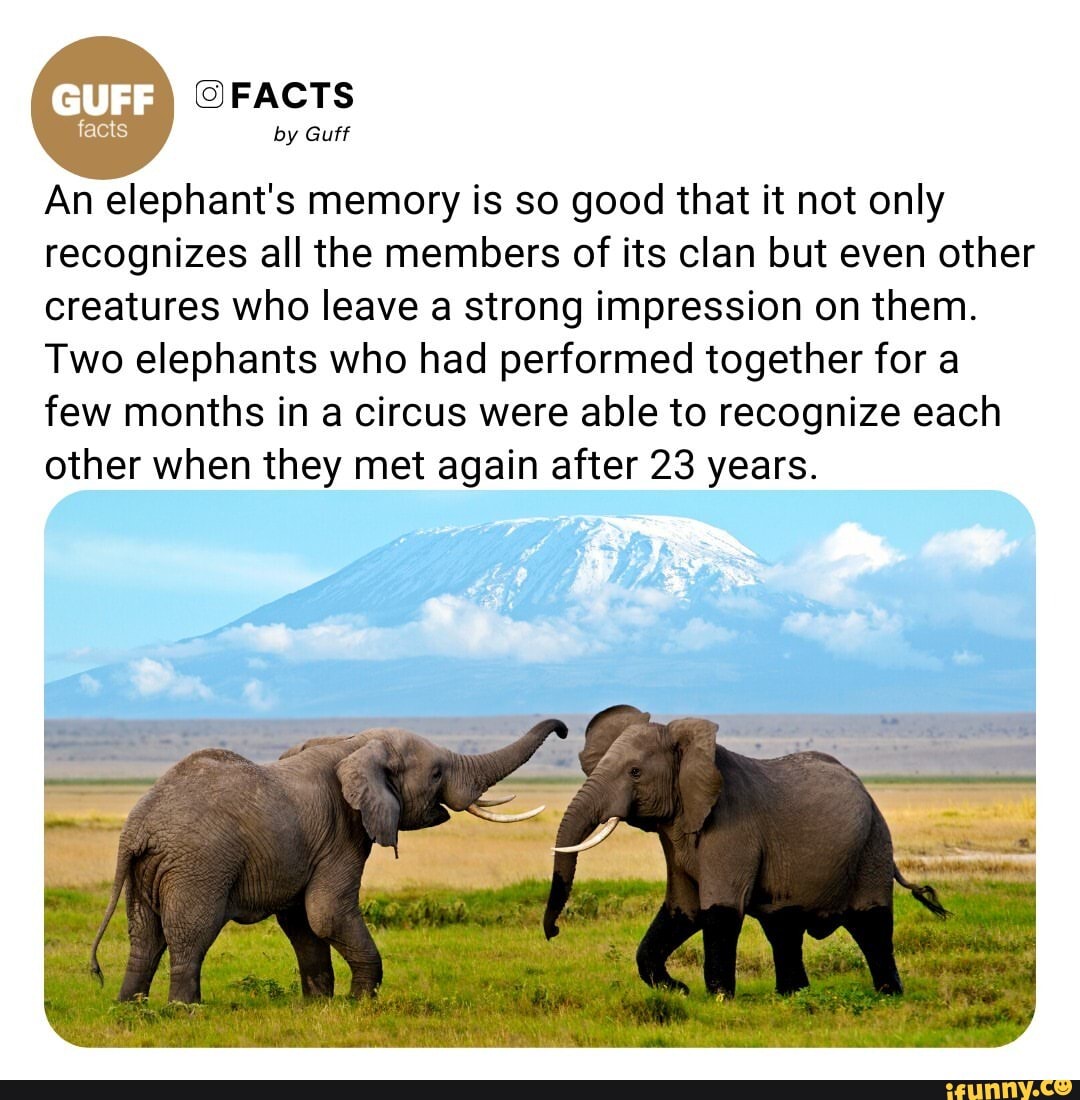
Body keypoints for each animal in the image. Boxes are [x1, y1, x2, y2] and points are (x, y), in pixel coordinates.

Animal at [90, 717, 567, 1003]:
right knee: (191, 933)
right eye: (435, 774)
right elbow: (327, 913)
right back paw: (186, 1010)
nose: (563, 729)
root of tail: (137, 829)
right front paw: (362, 1002)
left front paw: (320, 1005)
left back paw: (130, 1008)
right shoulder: (342, 832)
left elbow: (301, 921)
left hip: (147, 870)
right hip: (198, 865)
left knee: (144, 936)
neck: (354, 743)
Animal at [543, 705, 947, 998]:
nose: (554, 932)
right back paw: (793, 996)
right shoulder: (675, 833)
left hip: (873, 844)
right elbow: (683, 910)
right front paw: (680, 991)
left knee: (871, 923)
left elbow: (719, 910)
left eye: (635, 773)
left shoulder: (732, 828)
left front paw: (718, 999)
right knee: (784, 928)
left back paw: (889, 994)